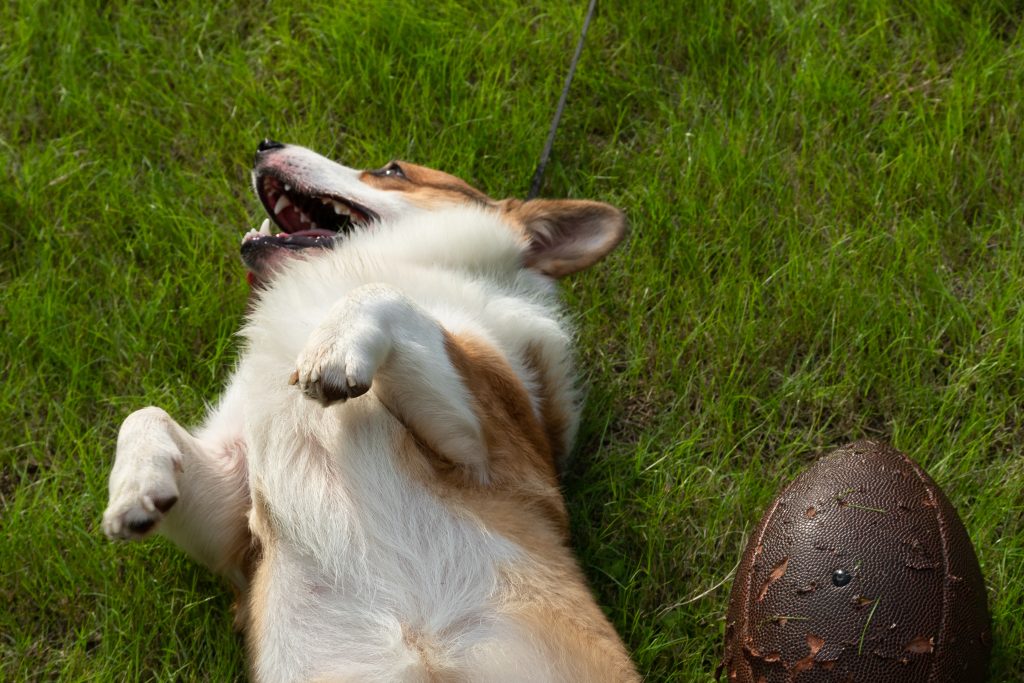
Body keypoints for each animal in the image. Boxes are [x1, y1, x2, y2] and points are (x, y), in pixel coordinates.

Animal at [101, 140, 630, 683]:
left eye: (392, 171)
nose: (266, 145)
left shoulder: (485, 444)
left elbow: (382, 293)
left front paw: (333, 351)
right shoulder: (234, 528)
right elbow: (144, 415)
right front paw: (134, 492)